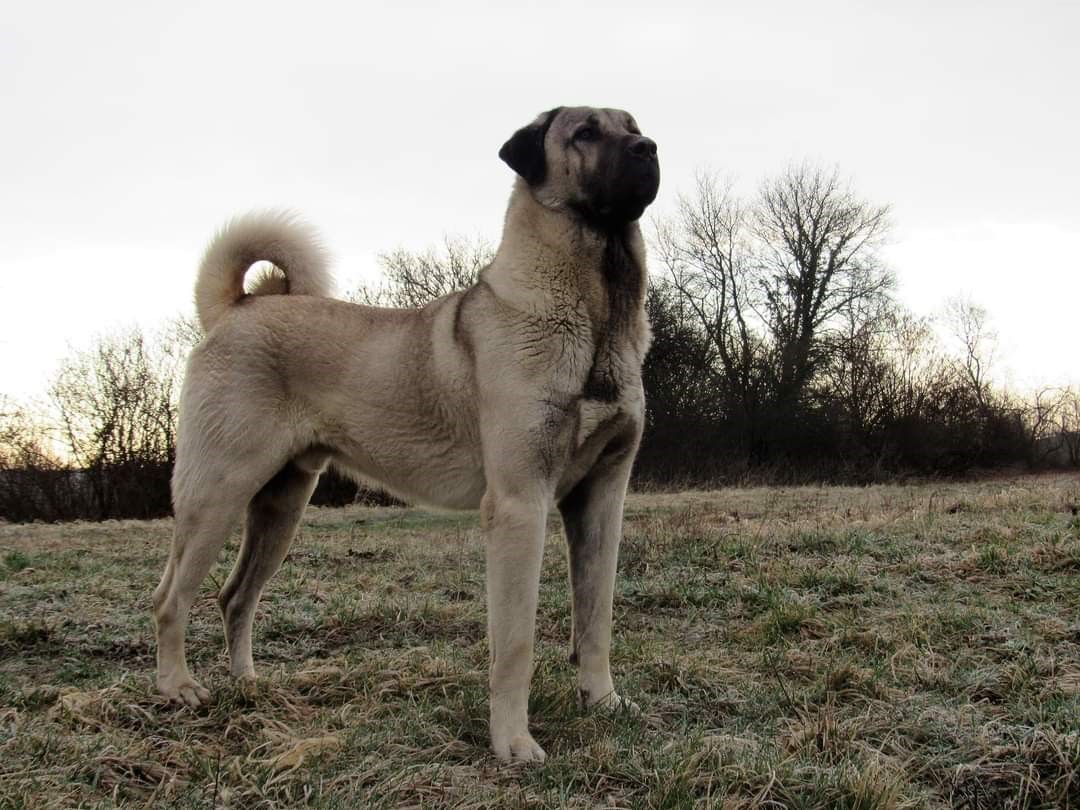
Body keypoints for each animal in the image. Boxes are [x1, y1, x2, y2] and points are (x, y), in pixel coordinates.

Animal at [152, 106, 656, 760]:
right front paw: (513, 742)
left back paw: (248, 685)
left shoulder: (601, 498)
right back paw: (177, 687)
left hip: (281, 505)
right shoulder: (520, 504)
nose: (649, 149)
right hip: (217, 492)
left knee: (234, 596)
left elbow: (595, 618)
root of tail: (235, 310)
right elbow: (514, 643)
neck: (597, 310)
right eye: (586, 133)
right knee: (171, 599)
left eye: (632, 126)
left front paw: (603, 703)